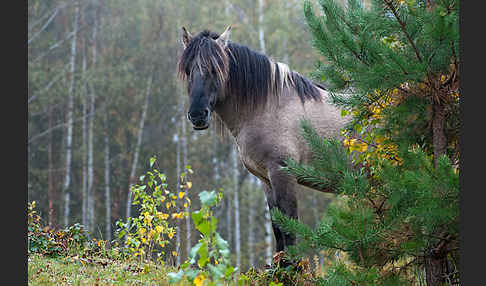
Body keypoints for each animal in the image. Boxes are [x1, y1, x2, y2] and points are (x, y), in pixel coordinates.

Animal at [178, 26, 346, 254]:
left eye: (215, 69)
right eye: (188, 71)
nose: (197, 115)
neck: (268, 107)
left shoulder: (283, 174)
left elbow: (289, 230)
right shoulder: (266, 180)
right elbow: (278, 231)